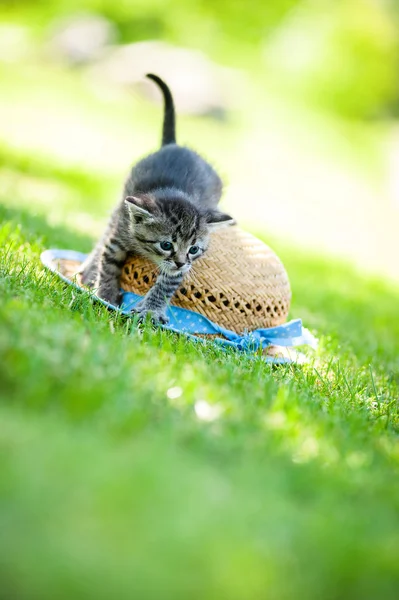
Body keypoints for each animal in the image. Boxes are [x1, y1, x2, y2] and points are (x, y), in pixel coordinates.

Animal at [81, 74, 234, 324]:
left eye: (194, 249)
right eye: (166, 244)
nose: (180, 261)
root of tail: (174, 144)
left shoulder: (179, 269)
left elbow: (167, 284)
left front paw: (151, 309)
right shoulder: (120, 233)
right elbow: (108, 263)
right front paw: (105, 294)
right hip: (122, 202)